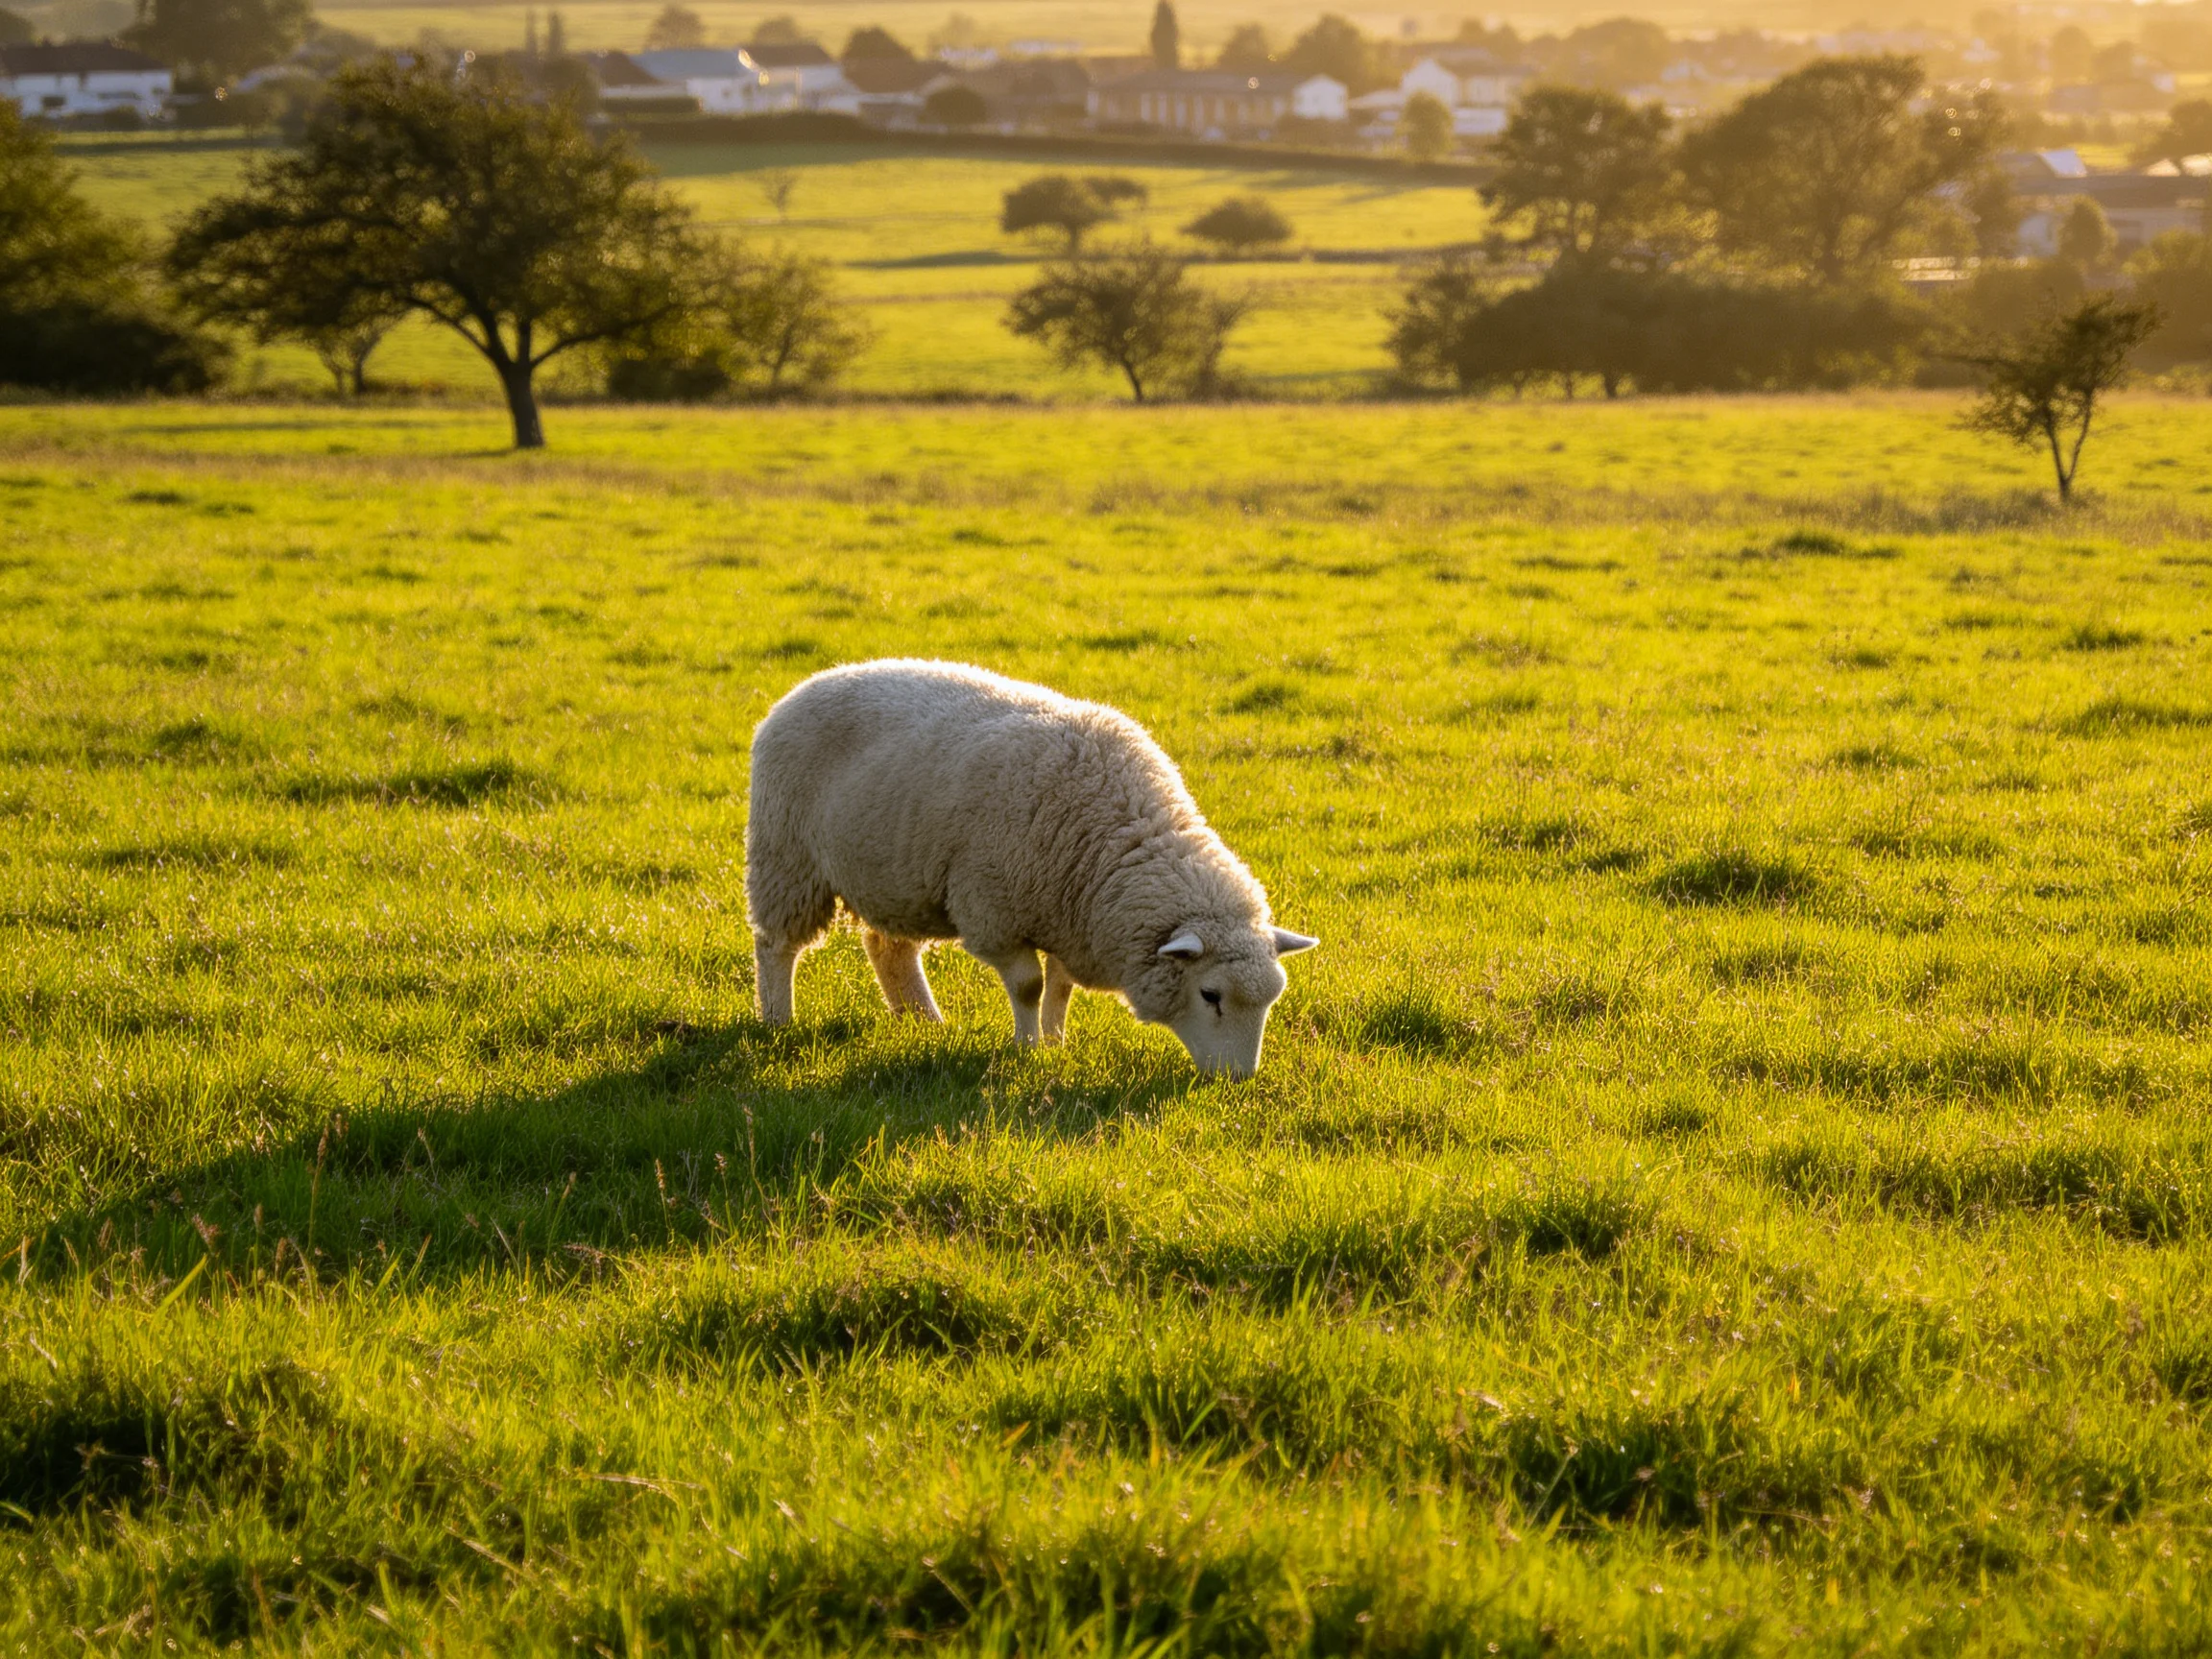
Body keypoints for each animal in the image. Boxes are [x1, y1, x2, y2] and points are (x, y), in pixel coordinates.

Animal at [745, 659, 1316, 1079]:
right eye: (1210, 995)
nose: (1239, 1079)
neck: (1116, 842)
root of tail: (805, 686)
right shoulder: (993, 911)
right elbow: (1028, 986)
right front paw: (1026, 1048)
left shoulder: (1070, 918)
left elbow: (1060, 989)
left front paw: (1056, 1043)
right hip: (786, 859)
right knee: (776, 945)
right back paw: (778, 1019)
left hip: (894, 875)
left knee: (889, 949)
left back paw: (926, 1022)